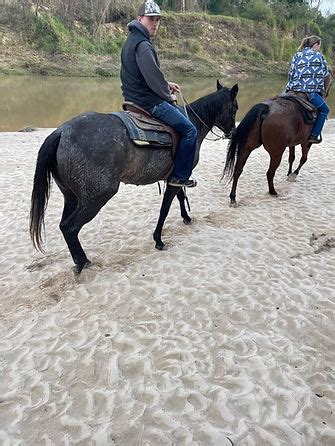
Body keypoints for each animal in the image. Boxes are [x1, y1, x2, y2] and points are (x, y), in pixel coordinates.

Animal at [29, 82, 239, 274]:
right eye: (235, 107)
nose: (232, 132)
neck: (193, 123)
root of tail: (61, 132)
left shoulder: (175, 176)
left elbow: (179, 196)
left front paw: (186, 217)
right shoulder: (178, 176)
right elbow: (165, 208)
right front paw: (158, 239)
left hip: (71, 196)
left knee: (64, 225)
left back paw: (79, 260)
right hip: (96, 197)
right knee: (70, 227)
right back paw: (83, 262)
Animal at [223, 72, 334, 206]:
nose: (327, 93)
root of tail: (265, 109)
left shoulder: (292, 143)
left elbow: (292, 157)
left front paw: (289, 173)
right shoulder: (306, 142)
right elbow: (303, 158)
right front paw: (293, 174)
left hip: (247, 147)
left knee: (238, 170)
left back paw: (233, 197)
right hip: (276, 153)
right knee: (270, 173)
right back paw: (273, 191)